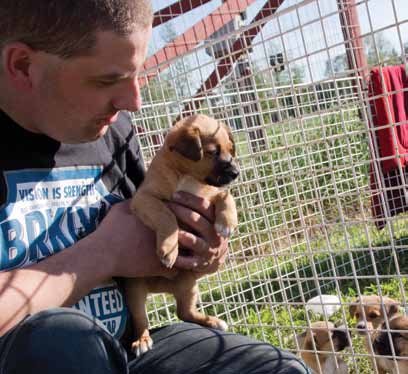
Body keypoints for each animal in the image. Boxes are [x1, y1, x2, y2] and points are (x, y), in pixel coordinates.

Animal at [126, 114, 237, 356]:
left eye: (230, 150)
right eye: (213, 152)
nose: (236, 173)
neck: (188, 177)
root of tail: (160, 287)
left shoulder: (209, 196)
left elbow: (226, 194)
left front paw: (226, 222)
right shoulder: (145, 198)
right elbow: (166, 215)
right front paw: (168, 249)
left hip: (188, 284)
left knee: (184, 312)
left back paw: (213, 321)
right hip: (135, 290)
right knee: (141, 320)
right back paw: (141, 341)